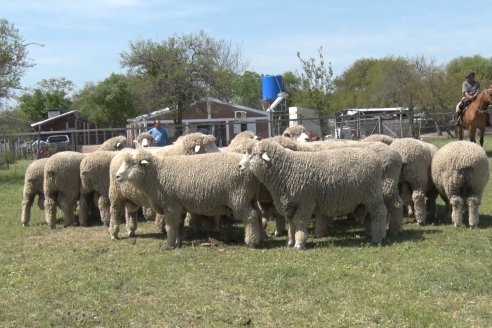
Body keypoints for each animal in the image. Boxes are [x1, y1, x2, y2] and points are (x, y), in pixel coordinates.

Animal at [115, 151, 264, 249]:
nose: (117, 176)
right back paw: (261, 237)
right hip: (250, 198)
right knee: (258, 215)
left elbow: (171, 226)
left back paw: (251, 242)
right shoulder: (179, 206)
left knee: (250, 217)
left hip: (239, 198)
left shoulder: (171, 205)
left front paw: (169, 245)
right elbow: (179, 225)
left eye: (131, 163)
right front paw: (178, 242)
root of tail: (252, 171)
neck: (155, 175)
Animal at [239, 138, 388, 249]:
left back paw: (378, 237)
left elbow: (299, 221)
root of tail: (376, 159)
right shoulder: (291, 204)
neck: (286, 169)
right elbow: (291, 223)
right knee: (372, 215)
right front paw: (290, 242)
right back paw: (372, 233)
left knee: (380, 213)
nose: (239, 166)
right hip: (366, 198)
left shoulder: (305, 202)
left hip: (372, 194)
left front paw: (299, 244)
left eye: (253, 154)